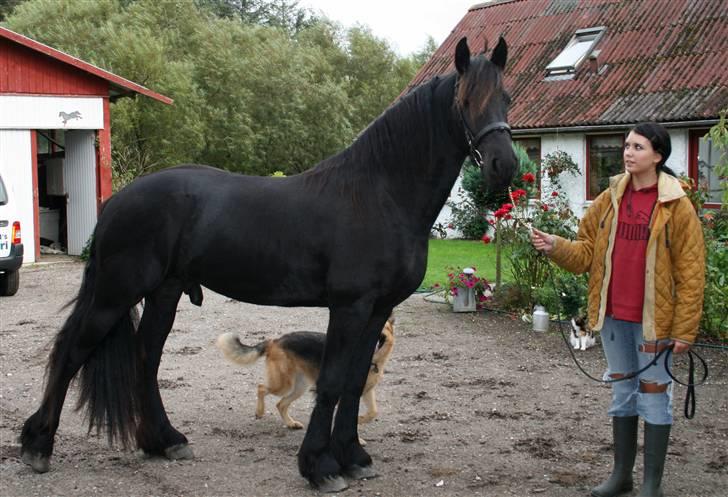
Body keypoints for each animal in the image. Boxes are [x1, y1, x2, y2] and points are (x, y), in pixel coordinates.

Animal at [216, 318, 396, 430]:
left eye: (383, 326)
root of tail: (275, 341)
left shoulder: (366, 392)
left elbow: (373, 412)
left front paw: (359, 422)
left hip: (299, 387)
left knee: (281, 404)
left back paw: (290, 423)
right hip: (283, 384)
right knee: (261, 388)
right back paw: (260, 412)